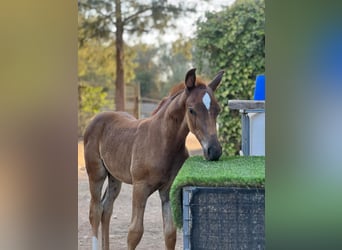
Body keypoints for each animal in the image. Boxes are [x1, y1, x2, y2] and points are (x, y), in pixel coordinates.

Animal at [84, 68, 224, 250]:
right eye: (191, 110)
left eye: (218, 109)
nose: (214, 151)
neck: (163, 142)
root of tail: (95, 118)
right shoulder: (140, 188)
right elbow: (134, 233)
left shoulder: (168, 190)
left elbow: (170, 233)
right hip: (96, 174)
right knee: (94, 211)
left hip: (114, 177)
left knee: (106, 209)